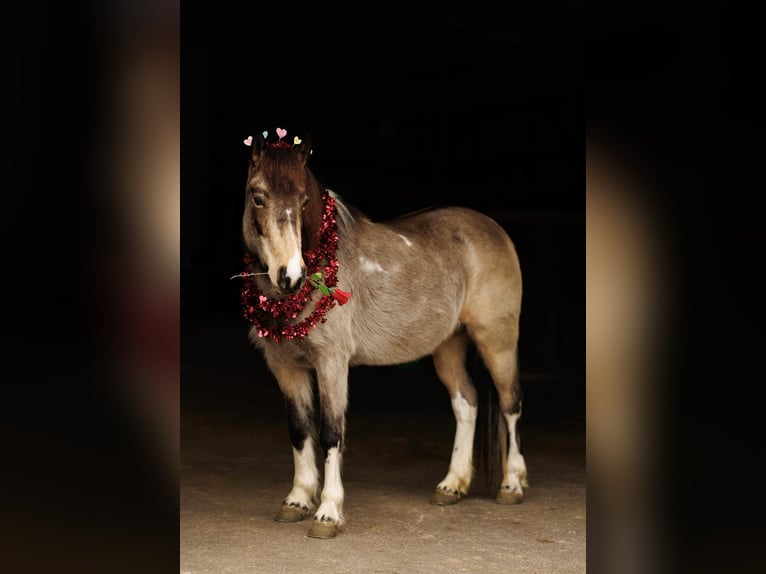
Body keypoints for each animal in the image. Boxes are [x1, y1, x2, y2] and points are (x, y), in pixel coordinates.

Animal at [240, 132, 528, 540]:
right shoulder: (285, 367)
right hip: (448, 345)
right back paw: (452, 485)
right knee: (466, 403)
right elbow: (299, 430)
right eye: (258, 196)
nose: (289, 276)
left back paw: (512, 485)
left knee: (510, 402)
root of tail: (492, 227)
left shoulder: (332, 364)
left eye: (304, 201)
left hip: (496, 341)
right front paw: (297, 500)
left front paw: (328, 512)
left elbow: (331, 432)